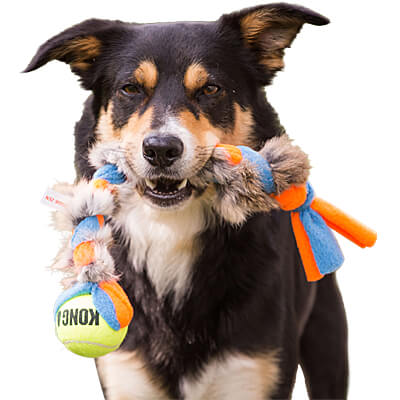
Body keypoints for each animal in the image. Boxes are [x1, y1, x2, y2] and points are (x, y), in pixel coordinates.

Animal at [25, 3, 348, 399]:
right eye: (130, 88)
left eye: (210, 88)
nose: (161, 149)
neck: (170, 231)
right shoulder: (126, 375)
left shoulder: (254, 370)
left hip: (328, 341)